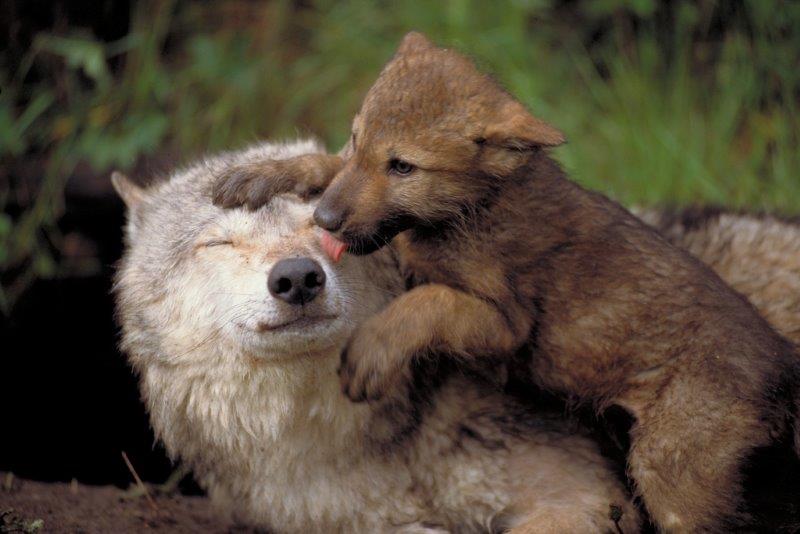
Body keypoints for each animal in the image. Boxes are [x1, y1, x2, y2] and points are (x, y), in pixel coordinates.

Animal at [211, 33, 800, 532]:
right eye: (357, 140)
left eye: (402, 167)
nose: (326, 220)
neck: (473, 207)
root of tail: (786, 368)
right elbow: (325, 165)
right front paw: (263, 174)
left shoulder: (502, 324)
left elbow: (427, 302)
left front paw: (371, 351)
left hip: (671, 471)